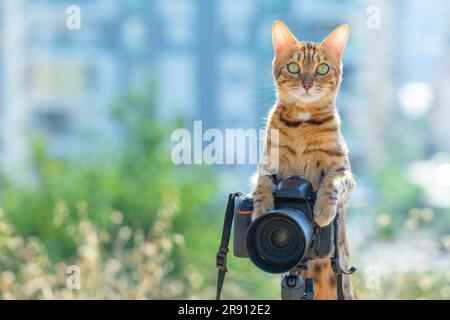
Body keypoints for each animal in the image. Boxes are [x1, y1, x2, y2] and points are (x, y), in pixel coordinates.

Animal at [253, 21, 356, 298]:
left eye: (322, 69)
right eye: (293, 67)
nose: (307, 84)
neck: (303, 122)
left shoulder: (344, 172)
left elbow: (332, 183)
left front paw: (322, 211)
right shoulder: (266, 167)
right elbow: (261, 187)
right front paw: (261, 211)